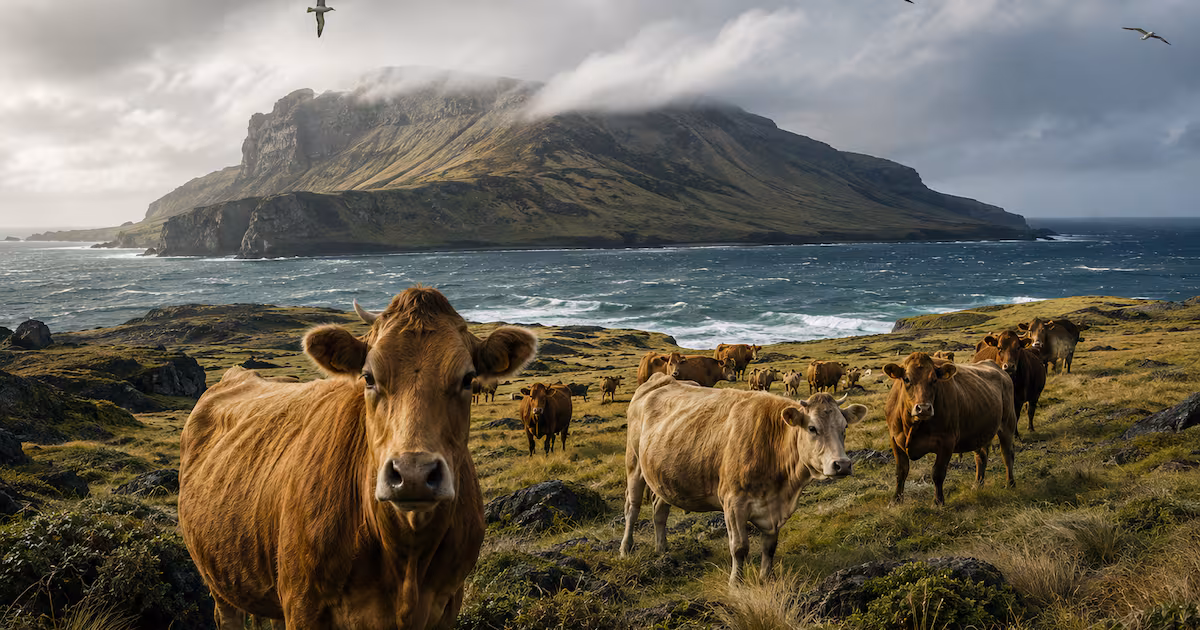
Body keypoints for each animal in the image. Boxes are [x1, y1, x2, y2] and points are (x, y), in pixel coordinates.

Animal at [178, 288, 537, 628]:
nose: (414, 474)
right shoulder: (302, 603)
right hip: (219, 580)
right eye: (368, 377)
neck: (407, 561)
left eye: (467, 378)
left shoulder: (447, 603)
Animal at [621, 374, 867, 584]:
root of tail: (661, 379)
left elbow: (770, 547)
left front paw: (765, 578)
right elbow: (739, 547)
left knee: (659, 509)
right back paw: (625, 549)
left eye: (844, 427)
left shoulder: (773, 510)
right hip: (634, 464)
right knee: (632, 508)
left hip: (663, 474)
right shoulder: (733, 503)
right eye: (812, 428)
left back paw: (661, 549)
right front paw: (735, 583)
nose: (842, 464)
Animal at [883, 352, 1017, 506]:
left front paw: (938, 501)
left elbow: (938, 473)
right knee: (981, 457)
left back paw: (1010, 484)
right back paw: (977, 485)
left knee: (1007, 455)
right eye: (906, 379)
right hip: (981, 430)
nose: (924, 408)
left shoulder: (947, 441)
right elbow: (901, 472)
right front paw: (895, 500)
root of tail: (999, 369)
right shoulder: (895, 440)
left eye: (934, 380)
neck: (912, 426)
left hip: (1007, 425)